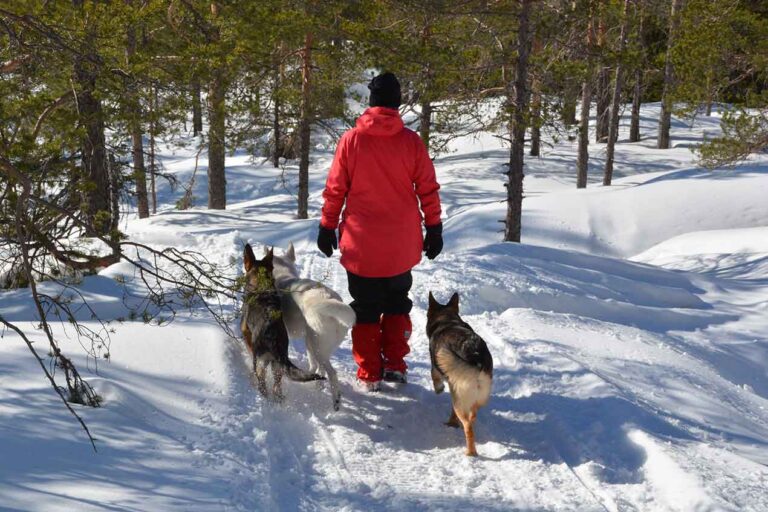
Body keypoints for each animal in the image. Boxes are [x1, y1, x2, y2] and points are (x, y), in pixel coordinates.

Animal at [240, 245, 324, 404]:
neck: (261, 284)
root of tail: (274, 339)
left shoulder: (246, 331)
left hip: (261, 363)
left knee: (262, 384)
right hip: (278, 367)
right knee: (276, 389)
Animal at [268, 245, 356, 412]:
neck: (283, 274)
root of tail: (329, 299)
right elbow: (314, 365)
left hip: (316, 346)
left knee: (331, 372)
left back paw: (335, 400)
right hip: (315, 343)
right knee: (319, 367)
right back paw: (317, 385)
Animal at [426, 292, 492, 456]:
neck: (447, 319)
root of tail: (476, 358)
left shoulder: (436, 369)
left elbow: (434, 378)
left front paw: (438, 389)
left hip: (459, 399)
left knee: (468, 425)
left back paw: (470, 452)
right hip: (476, 396)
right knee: (472, 417)